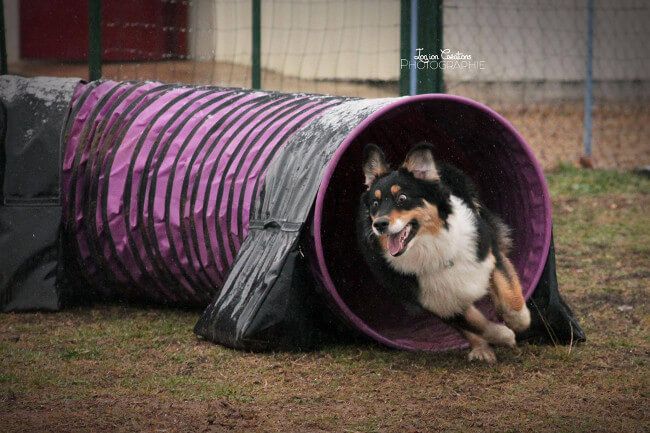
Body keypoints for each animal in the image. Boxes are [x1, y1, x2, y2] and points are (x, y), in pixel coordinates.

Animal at [356, 142, 528, 362]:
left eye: (402, 198)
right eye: (375, 204)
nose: (379, 224)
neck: (431, 246)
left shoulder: (489, 252)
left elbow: (509, 295)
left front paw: (519, 321)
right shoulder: (435, 301)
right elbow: (474, 324)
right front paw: (503, 335)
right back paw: (481, 349)